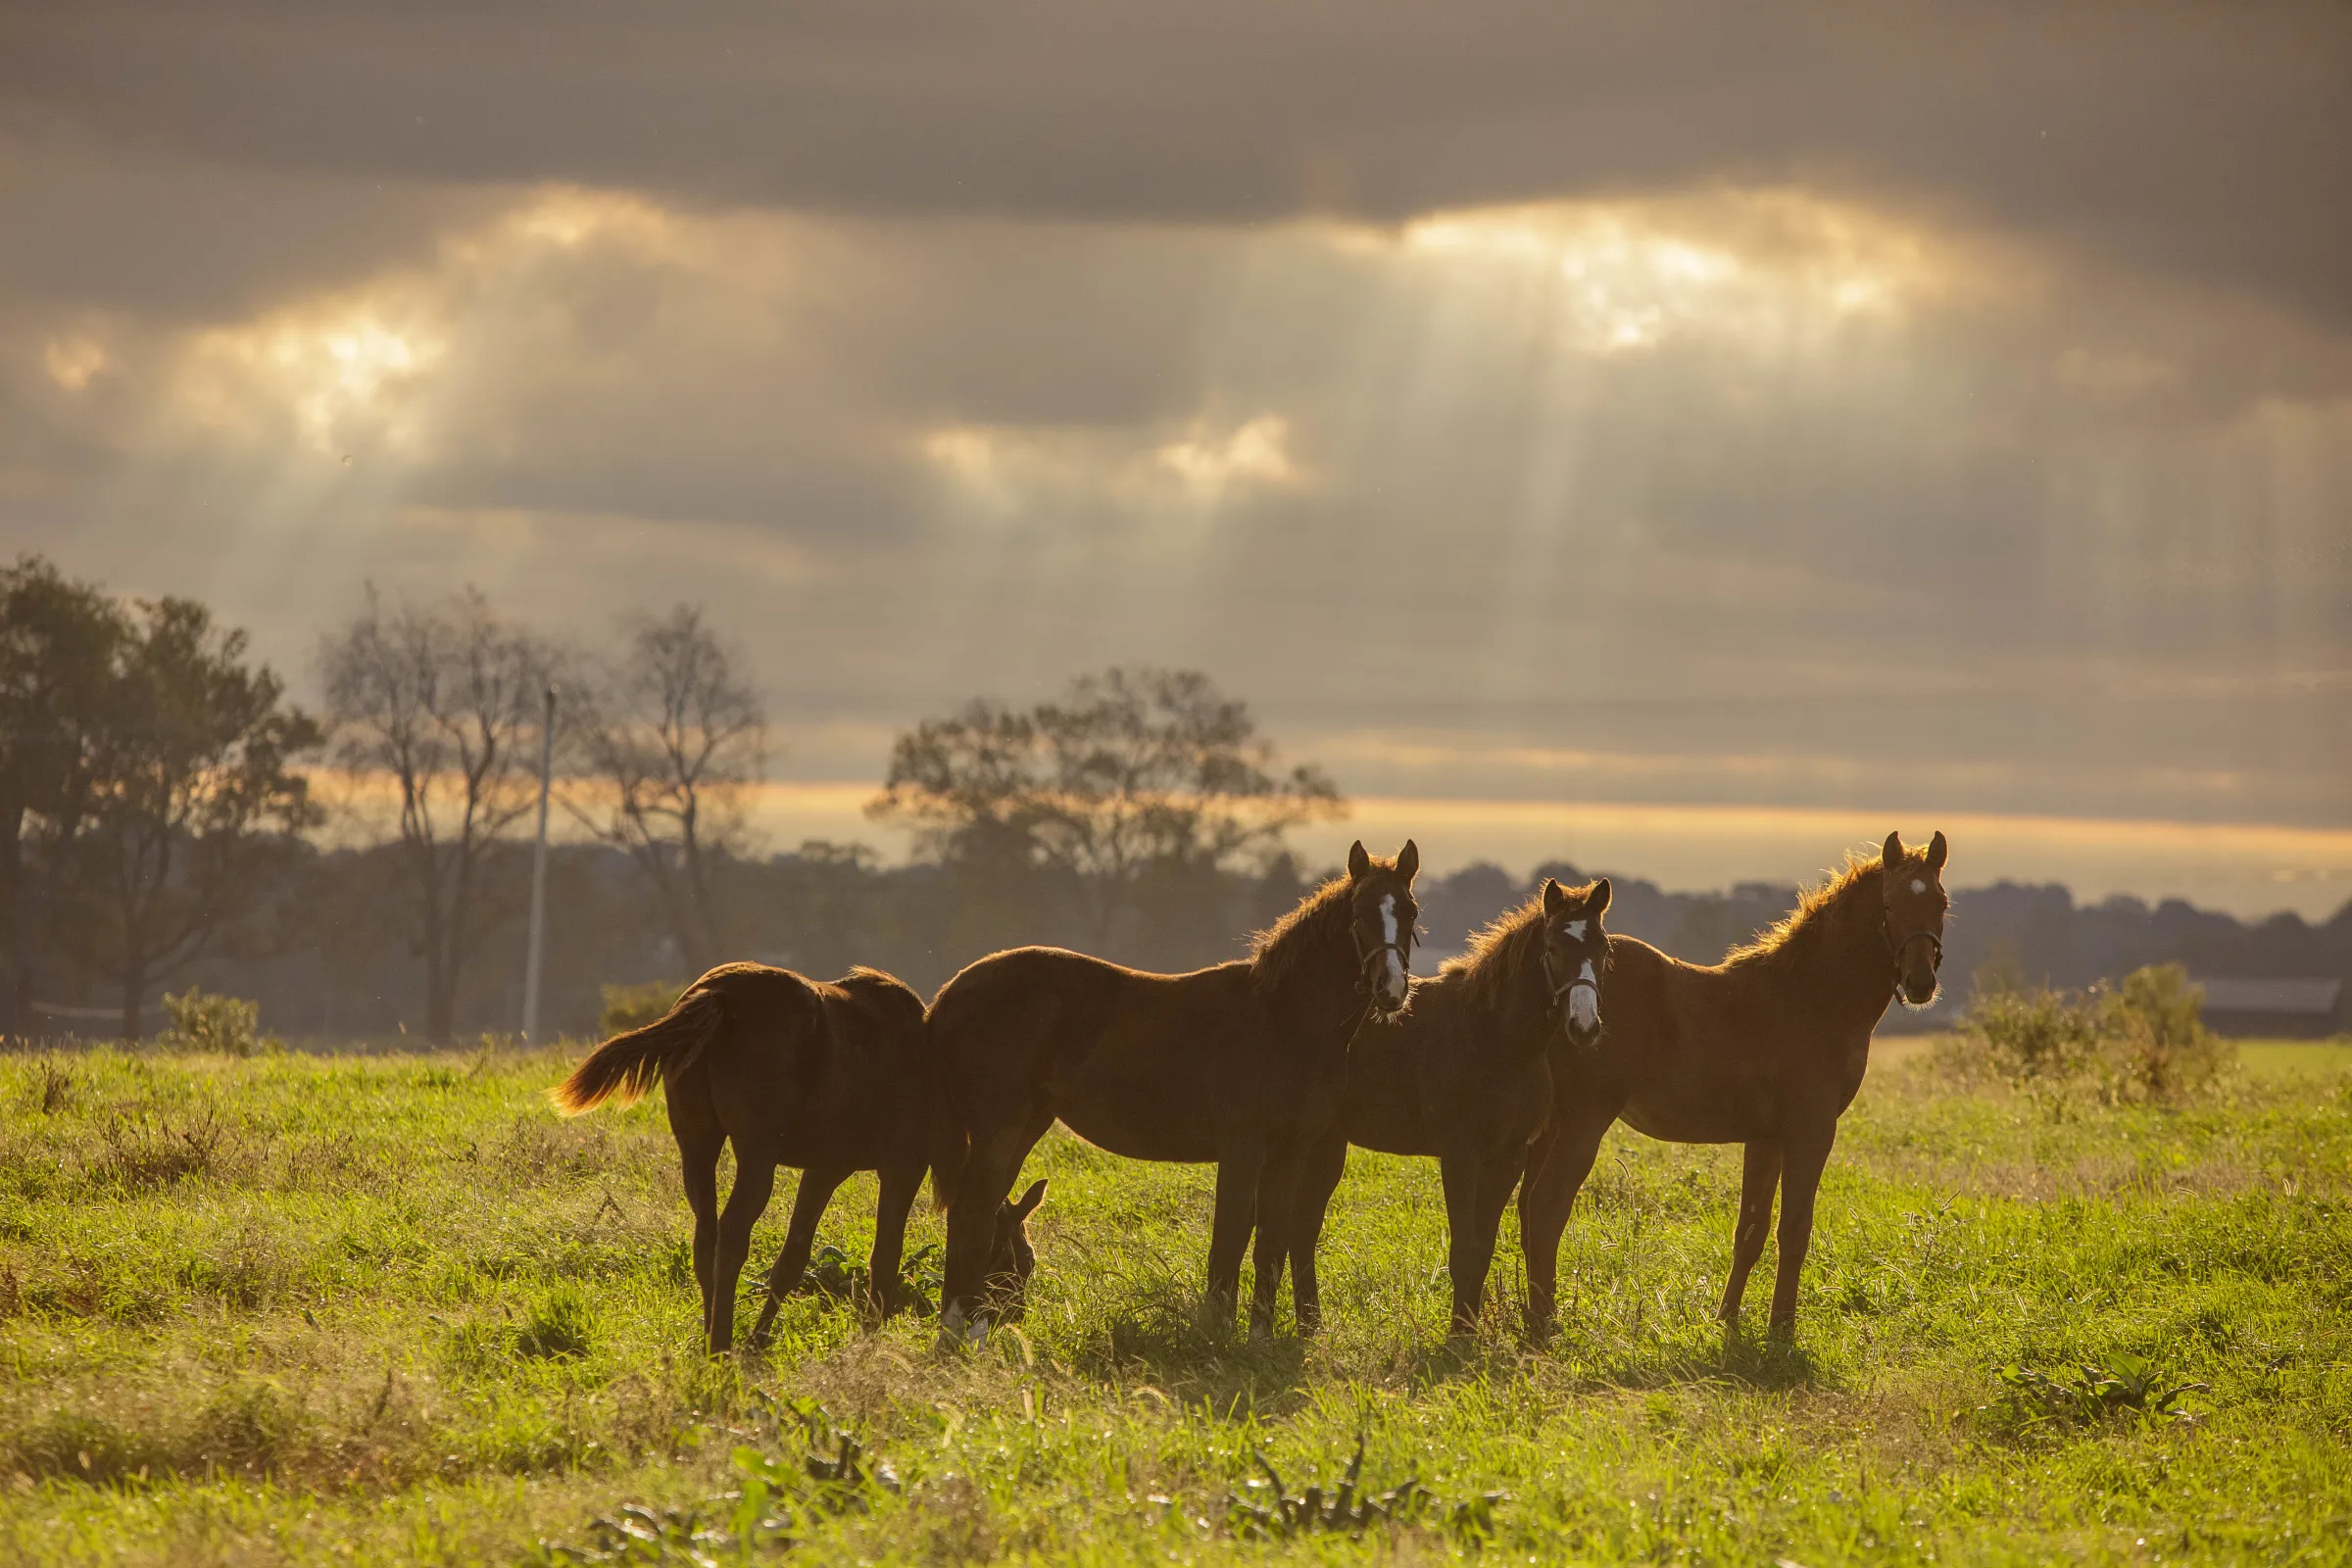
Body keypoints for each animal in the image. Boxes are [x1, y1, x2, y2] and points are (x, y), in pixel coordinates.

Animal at [553, 963, 1049, 1353]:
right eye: (1020, 1261)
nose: (1014, 1317)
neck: (936, 1080)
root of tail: (716, 998)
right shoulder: (902, 1164)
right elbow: (884, 1261)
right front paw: (868, 1341)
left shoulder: (826, 1167)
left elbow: (792, 1259)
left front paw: (760, 1340)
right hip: (757, 1150)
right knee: (733, 1233)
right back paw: (721, 1343)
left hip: (697, 1141)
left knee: (705, 1237)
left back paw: (713, 1333)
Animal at [931, 841, 1411, 1345]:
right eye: (1359, 914)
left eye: (1411, 912)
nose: (1391, 989)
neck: (1284, 1020)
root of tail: (947, 994)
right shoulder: (1243, 1149)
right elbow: (1230, 1238)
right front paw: (1217, 1329)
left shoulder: (1290, 1152)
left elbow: (1271, 1241)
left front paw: (1258, 1337)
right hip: (1000, 1127)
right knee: (973, 1212)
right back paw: (964, 1330)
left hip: (1026, 1124)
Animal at [1289, 869, 1618, 1335]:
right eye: (1554, 948)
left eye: (1603, 950)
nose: (1584, 1026)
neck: (1493, 1039)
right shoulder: (1460, 1155)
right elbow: (1465, 1248)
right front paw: (1459, 1334)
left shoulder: (1508, 1157)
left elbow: (1483, 1247)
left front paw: (1468, 1326)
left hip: (1328, 1144)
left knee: (1302, 1228)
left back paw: (1310, 1323)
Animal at [1505, 832, 1947, 1335]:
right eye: (1889, 905)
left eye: (1941, 903)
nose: (1920, 982)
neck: (1810, 997)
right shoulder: (1811, 1132)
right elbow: (1795, 1229)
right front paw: (1781, 1327)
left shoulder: (1766, 1138)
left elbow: (1751, 1231)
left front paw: (1727, 1318)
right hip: (1583, 1120)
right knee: (1546, 1207)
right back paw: (1545, 1323)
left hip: (1551, 1127)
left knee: (1527, 1210)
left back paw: (1535, 1314)